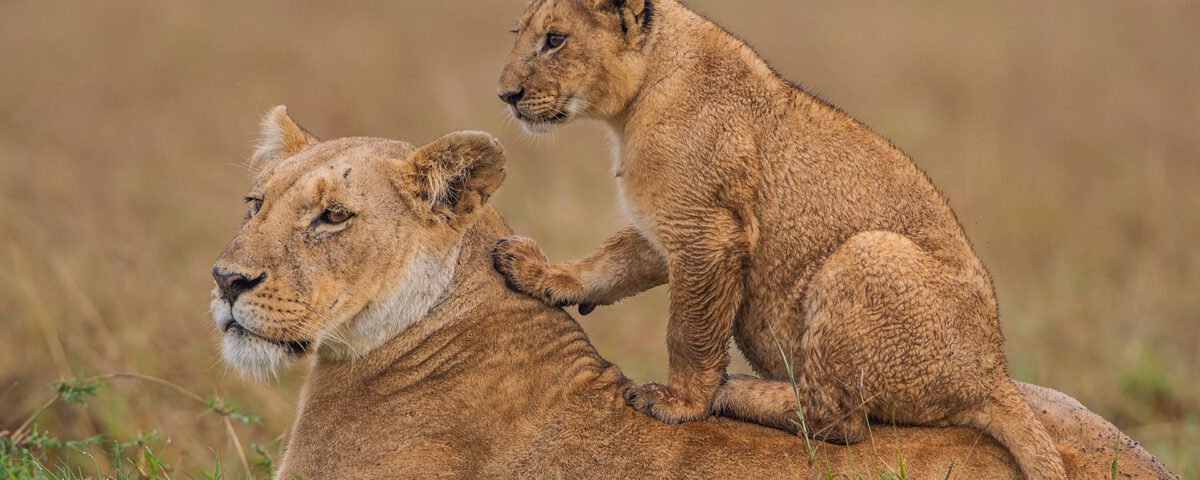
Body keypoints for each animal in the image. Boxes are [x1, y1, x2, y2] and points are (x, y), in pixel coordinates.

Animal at [494, 1, 1078, 478]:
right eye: (520, 34)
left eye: (555, 39)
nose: (506, 95)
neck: (634, 103)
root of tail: (993, 374)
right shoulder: (666, 226)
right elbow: (608, 263)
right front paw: (539, 274)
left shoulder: (708, 231)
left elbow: (689, 331)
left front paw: (679, 402)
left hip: (866, 253)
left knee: (840, 421)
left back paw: (735, 391)